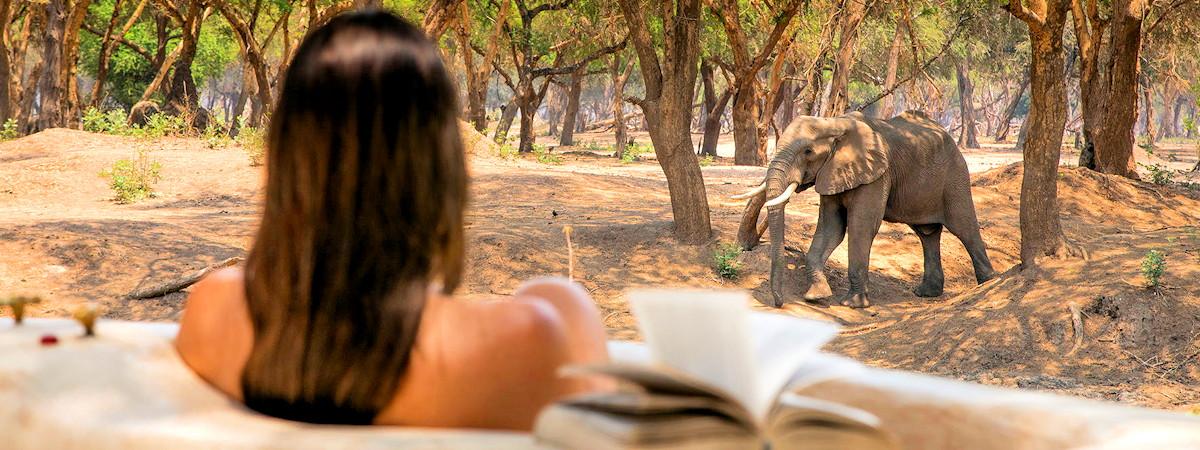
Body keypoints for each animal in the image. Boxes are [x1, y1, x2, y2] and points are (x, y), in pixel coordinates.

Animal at [734, 112, 998, 309]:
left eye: (807, 151)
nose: (778, 303)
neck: (834, 122)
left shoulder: (876, 175)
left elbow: (861, 226)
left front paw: (853, 304)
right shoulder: (832, 172)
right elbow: (831, 229)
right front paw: (816, 296)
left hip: (955, 175)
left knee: (964, 227)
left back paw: (988, 284)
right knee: (927, 234)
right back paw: (926, 293)